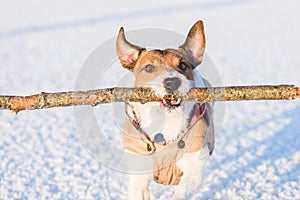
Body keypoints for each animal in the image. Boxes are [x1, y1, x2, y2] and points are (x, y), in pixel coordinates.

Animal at [116, 20, 214, 200]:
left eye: (183, 65)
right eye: (149, 68)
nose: (172, 82)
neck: (166, 121)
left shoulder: (193, 168)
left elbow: (182, 191)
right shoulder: (139, 174)